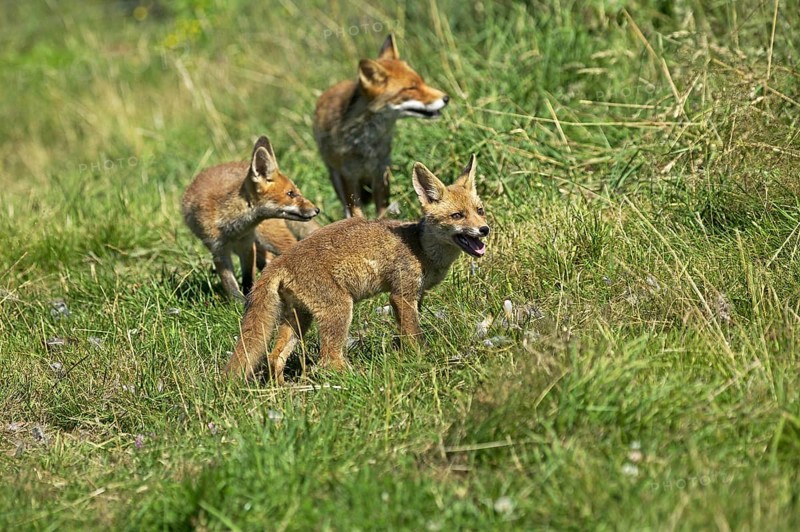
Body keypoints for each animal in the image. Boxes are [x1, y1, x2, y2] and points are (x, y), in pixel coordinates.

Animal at [182, 136, 319, 301]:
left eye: (295, 192)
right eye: (290, 194)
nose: (317, 210)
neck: (233, 229)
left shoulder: (247, 244)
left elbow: (248, 278)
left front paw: (248, 298)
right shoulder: (218, 250)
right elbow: (230, 284)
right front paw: (237, 302)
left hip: (269, 238)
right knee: (269, 261)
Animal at [225, 154, 490, 383]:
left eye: (480, 211)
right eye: (457, 215)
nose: (485, 229)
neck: (421, 248)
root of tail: (278, 262)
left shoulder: (415, 295)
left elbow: (403, 334)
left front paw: (402, 355)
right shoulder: (401, 295)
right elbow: (415, 337)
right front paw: (422, 360)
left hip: (299, 319)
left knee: (274, 358)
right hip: (339, 309)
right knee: (327, 362)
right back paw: (360, 378)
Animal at [314, 33, 449, 218]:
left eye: (421, 82)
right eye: (411, 88)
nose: (446, 98)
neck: (366, 143)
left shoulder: (380, 172)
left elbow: (381, 210)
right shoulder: (349, 176)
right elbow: (357, 213)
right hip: (336, 177)